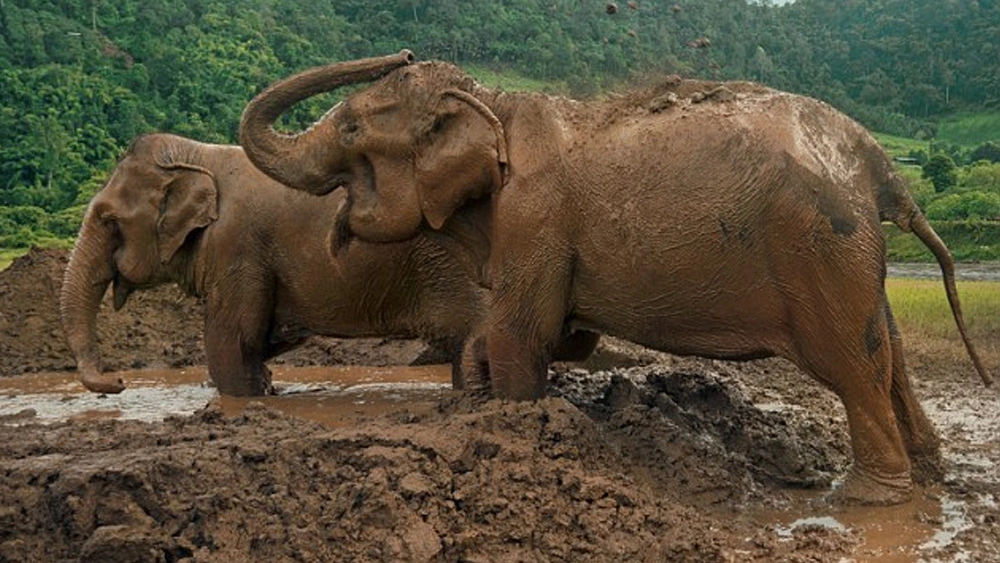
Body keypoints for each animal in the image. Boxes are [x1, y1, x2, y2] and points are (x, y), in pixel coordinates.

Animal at [60, 133, 600, 396]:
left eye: (107, 220)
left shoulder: (238, 246)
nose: (117, 383)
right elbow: (263, 336)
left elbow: (232, 339)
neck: (200, 155)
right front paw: (268, 386)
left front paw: (246, 398)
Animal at [236, 50, 992, 504]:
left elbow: (524, 333)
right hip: (852, 254)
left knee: (853, 369)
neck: (496, 104)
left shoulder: (536, 216)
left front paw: (517, 419)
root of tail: (878, 163)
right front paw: (474, 402)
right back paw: (930, 473)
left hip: (819, 248)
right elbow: (529, 334)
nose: (403, 52)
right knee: (889, 358)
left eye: (352, 129)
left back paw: (867, 499)